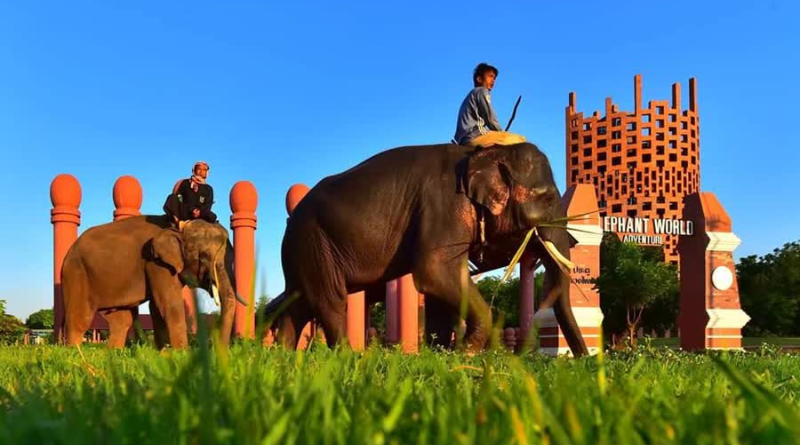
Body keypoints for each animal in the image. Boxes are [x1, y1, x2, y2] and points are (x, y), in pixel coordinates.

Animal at [60, 215, 246, 349]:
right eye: (204, 256)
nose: (216, 349)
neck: (176, 228)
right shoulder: (155, 261)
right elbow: (168, 303)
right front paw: (181, 353)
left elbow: (156, 307)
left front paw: (163, 353)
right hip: (76, 272)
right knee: (79, 317)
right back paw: (75, 352)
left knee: (122, 320)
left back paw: (114, 352)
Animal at [264, 141, 589, 357]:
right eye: (548, 199)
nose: (585, 360)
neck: (485, 153)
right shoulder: (444, 207)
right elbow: (433, 272)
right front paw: (465, 354)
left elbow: (444, 284)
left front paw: (444, 355)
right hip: (314, 243)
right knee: (330, 300)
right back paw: (347, 358)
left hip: (304, 251)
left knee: (298, 303)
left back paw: (284, 359)